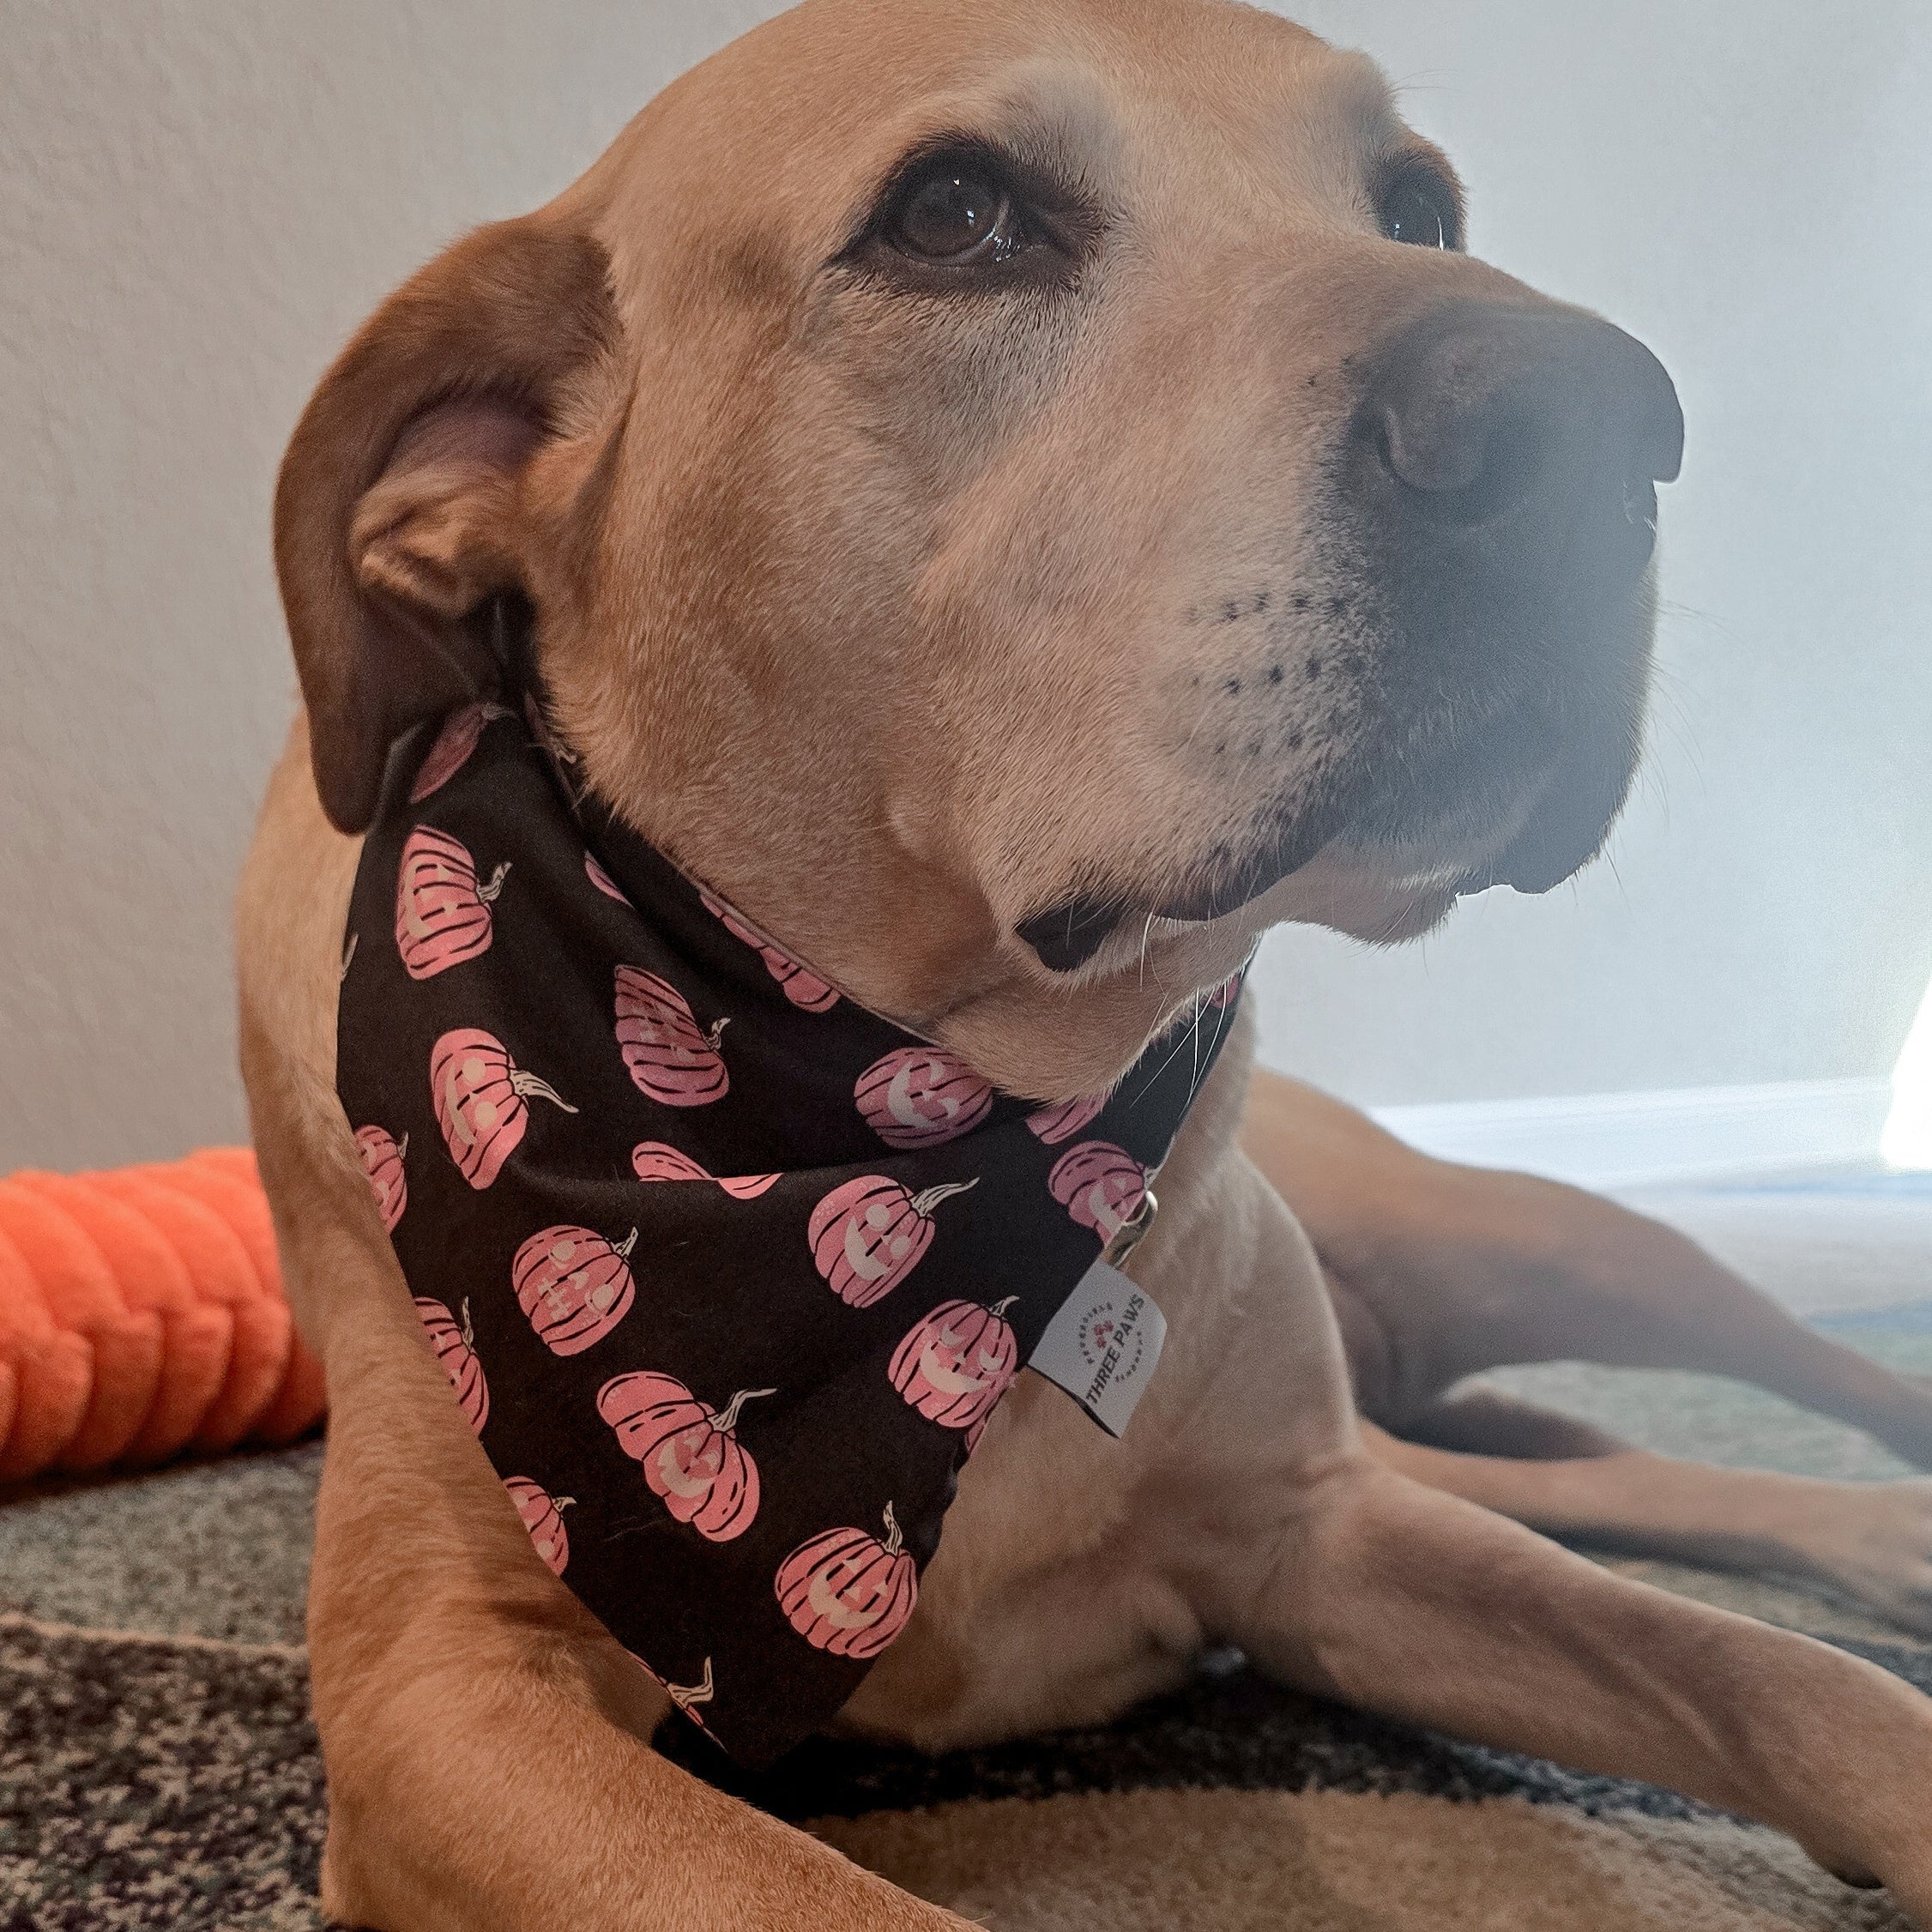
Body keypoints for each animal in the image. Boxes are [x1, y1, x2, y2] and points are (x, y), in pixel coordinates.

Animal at [237, 7, 1932, 1923]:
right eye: (953, 215)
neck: (908, 1097)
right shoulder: (448, 1684)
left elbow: (1774, 1676)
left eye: (1417, 208)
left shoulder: (1315, 1527)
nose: (1589, 418)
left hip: (1545, 1237)